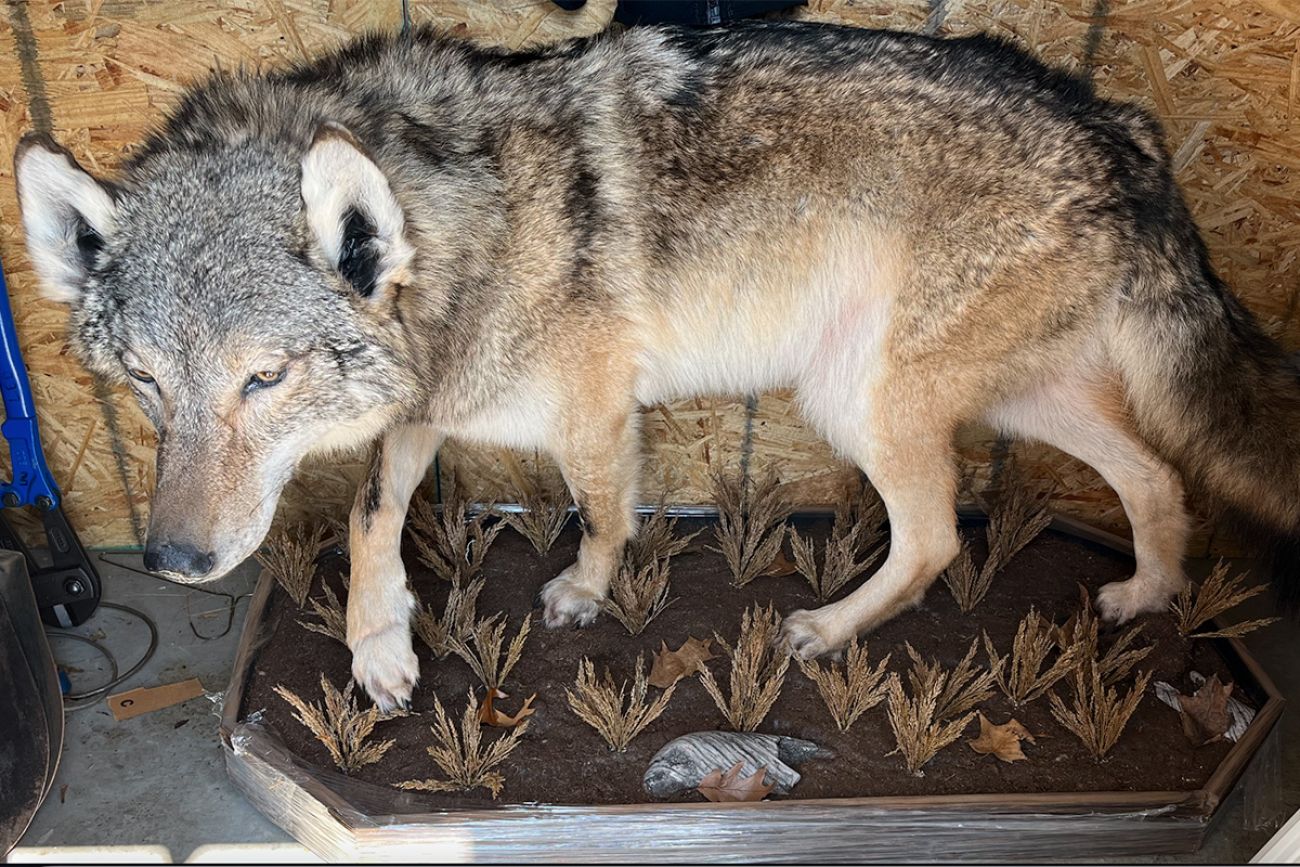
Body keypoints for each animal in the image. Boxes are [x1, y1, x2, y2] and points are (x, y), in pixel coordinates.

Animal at [12, 22, 1300, 712]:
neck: (465, 219)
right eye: (146, 386)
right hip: (1008, 399)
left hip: (861, 401)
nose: (176, 562)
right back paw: (1145, 595)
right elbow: (375, 511)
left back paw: (827, 632)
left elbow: (599, 511)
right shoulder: (435, 390)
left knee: (938, 538)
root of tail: (1123, 128)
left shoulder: (584, 407)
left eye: (264, 380)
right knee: (1156, 480)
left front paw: (585, 595)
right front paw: (379, 648)